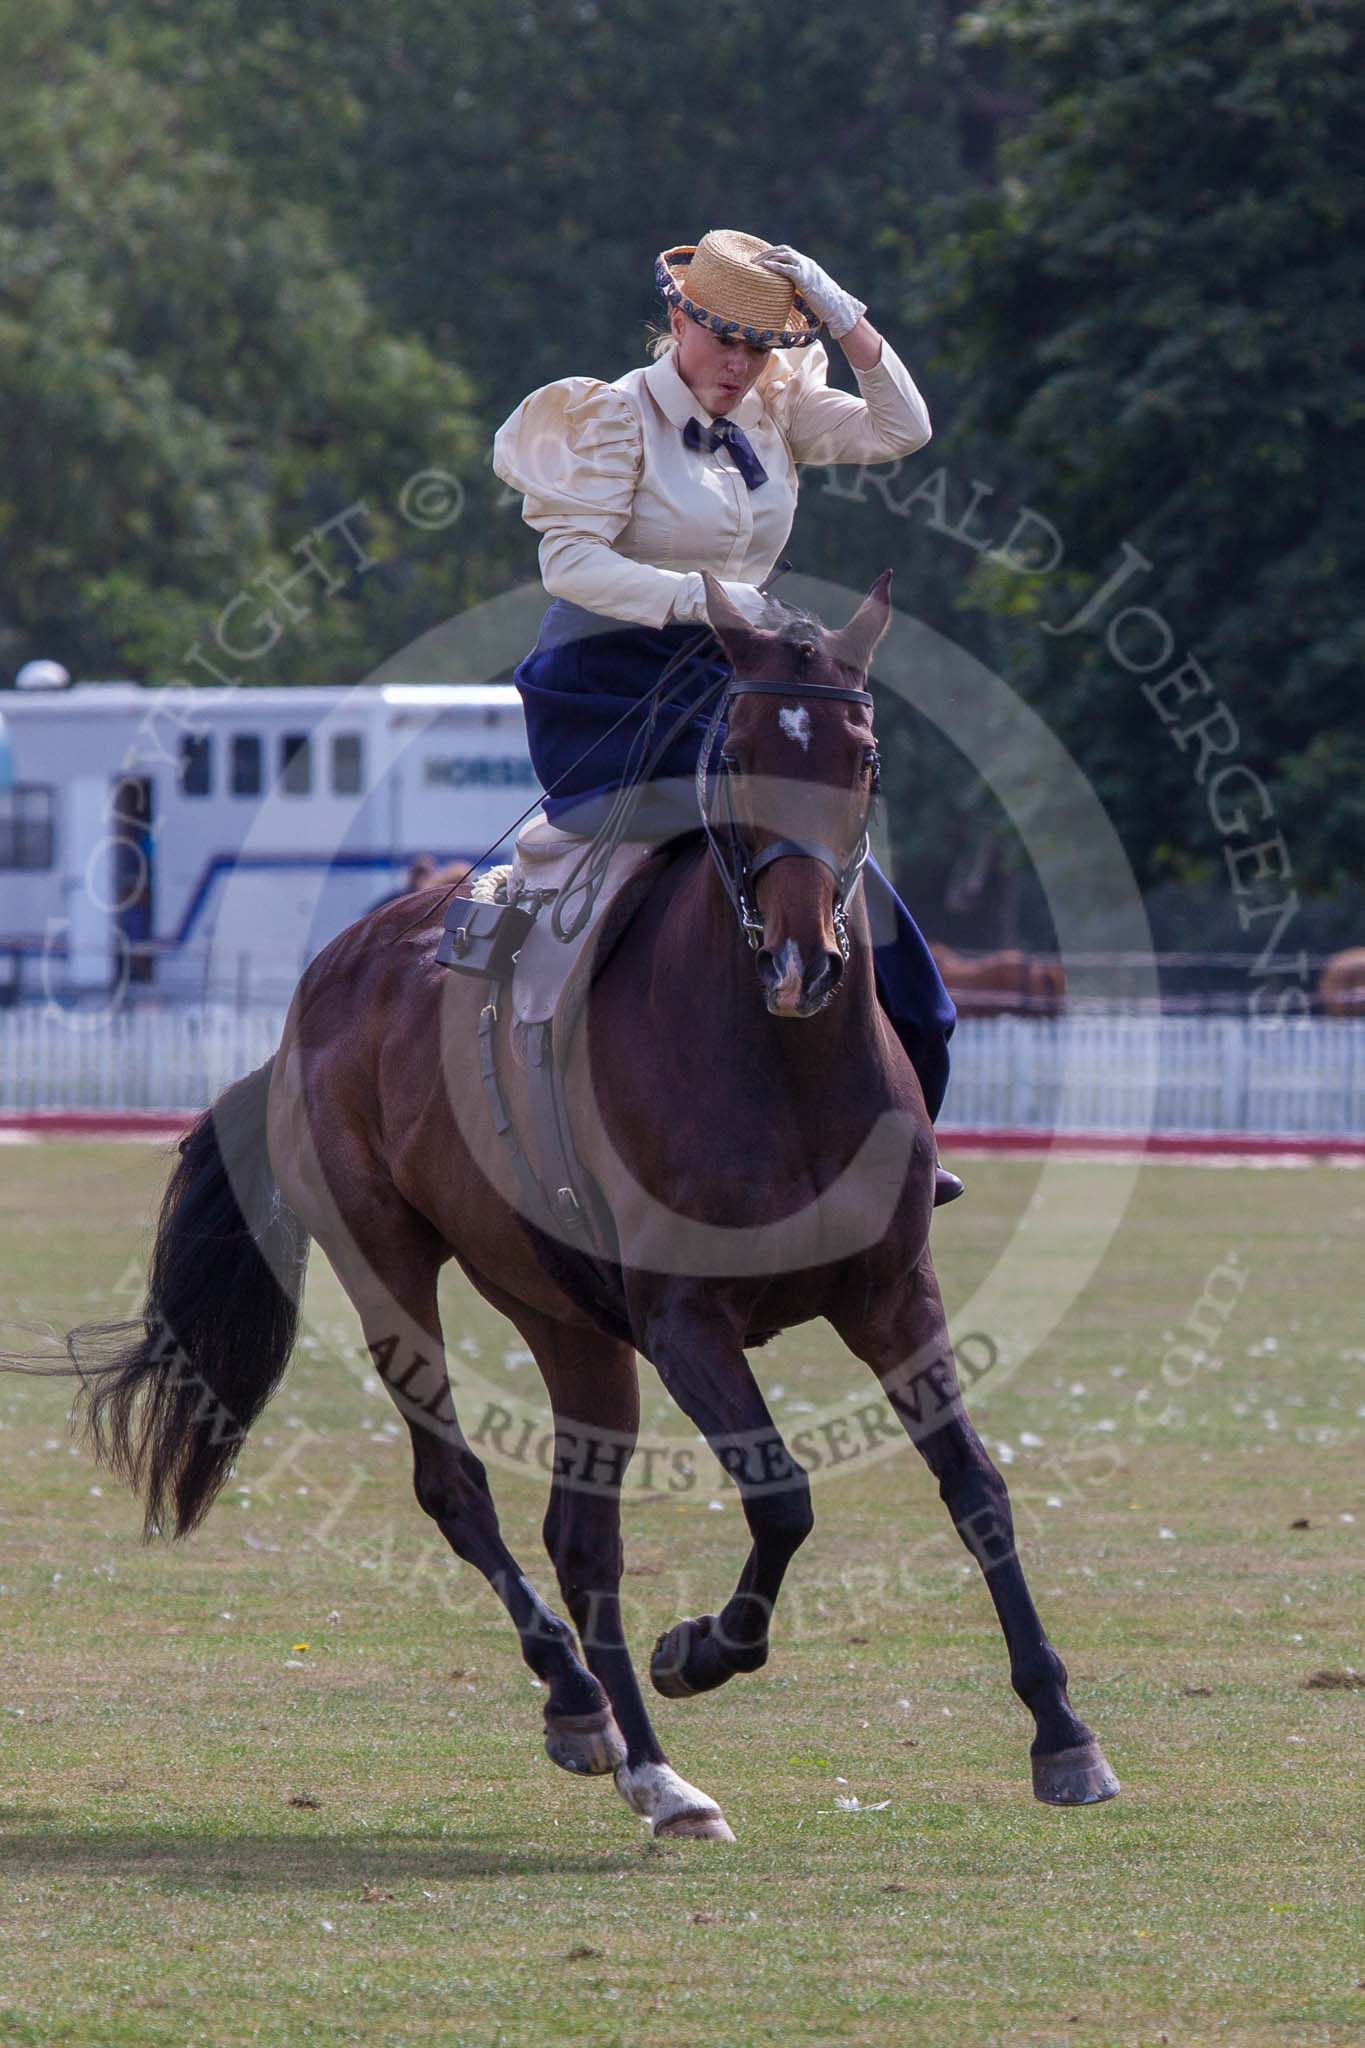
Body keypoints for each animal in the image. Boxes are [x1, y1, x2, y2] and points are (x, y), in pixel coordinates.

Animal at [69, 573, 1121, 1843]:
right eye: (736, 748)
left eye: (862, 757)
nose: (803, 960)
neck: (778, 1066)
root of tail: (317, 999)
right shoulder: (685, 1323)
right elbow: (783, 1497)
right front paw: (701, 1647)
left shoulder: (893, 1294)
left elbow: (976, 1488)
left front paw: (1061, 1728)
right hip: (390, 1270)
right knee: (460, 1490)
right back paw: (592, 1705)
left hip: (566, 1319)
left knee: (581, 1537)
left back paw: (644, 1763)